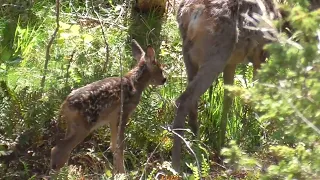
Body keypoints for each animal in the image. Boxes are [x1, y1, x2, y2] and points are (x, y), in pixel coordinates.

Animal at [51, 39, 166, 173]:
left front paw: (116, 170)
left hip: (72, 126)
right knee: (58, 148)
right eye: (160, 69)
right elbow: (120, 145)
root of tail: (65, 105)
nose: (164, 80)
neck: (135, 83)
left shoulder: (112, 118)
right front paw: (122, 172)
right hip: (84, 126)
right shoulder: (124, 112)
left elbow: (113, 144)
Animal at [171, 0, 278, 172]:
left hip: (190, 55)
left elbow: (228, 99)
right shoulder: (261, 55)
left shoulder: (232, 63)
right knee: (184, 100)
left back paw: (198, 147)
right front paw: (258, 132)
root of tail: (191, 13)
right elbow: (258, 94)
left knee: (192, 101)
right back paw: (177, 165)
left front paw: (223, 145)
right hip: (217, 55)